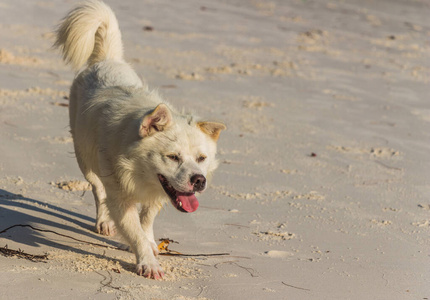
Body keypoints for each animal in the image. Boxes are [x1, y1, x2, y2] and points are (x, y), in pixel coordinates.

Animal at [53, 1, 225, 280]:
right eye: (173, 157)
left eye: (202, 158)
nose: (199, 180)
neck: (137, 168)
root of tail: (106, 60)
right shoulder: (121, 199)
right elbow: (134, 231)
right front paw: (148, 263)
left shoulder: (157, 194)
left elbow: (146, 223)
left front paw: (151, 244)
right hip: (85, 158)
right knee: (97, 189)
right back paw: (103, 222)